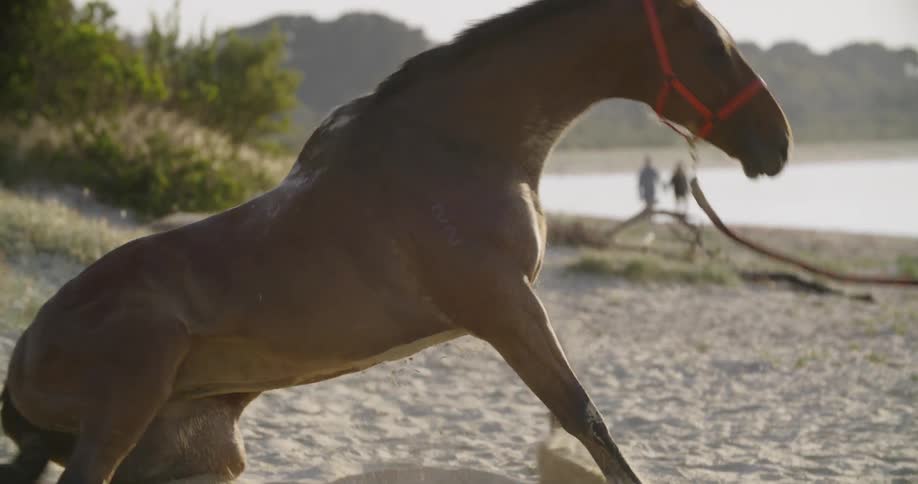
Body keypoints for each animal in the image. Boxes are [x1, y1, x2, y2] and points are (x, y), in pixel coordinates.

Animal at [0, 0, 791, 482]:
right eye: (714, 46)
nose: (777, 146)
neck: (464, 144)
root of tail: (23, 358)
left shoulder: (514, 312)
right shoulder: (506, 310)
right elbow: (587, 420)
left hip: (190, 458)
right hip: (126, 405)